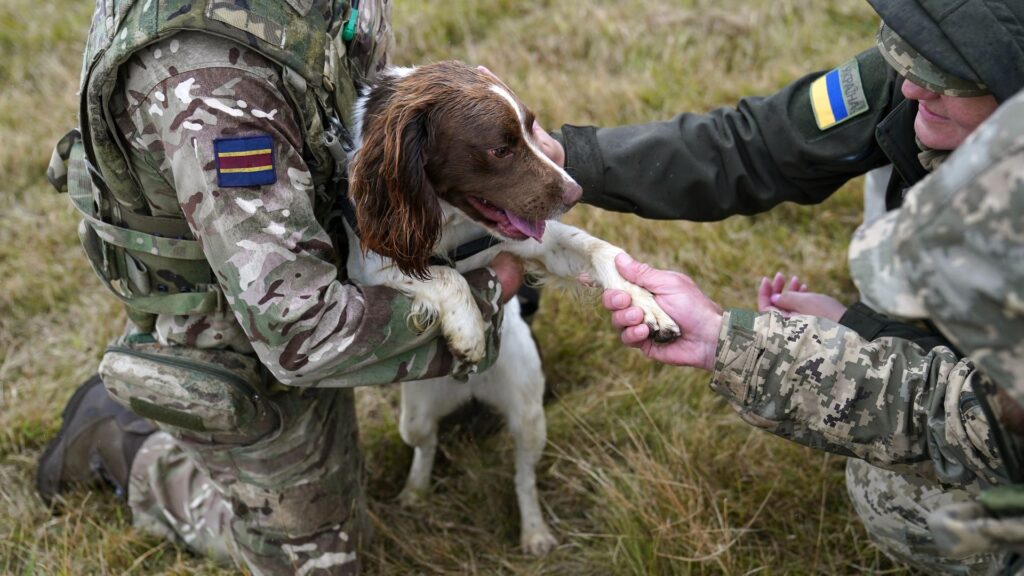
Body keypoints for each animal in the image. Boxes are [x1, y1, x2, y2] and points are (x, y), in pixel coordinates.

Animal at [344, 61, 679, 553]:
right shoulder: (365, 263)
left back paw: (535, 532)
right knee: (426, 445)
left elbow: (599, 249)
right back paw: (416, 491)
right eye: (500, 149)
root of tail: (471, 392)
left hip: (529, 415)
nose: (575, 191)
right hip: (415, 416)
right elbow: (441, 275)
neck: (453, 225)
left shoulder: (538, 243)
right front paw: (467, 329)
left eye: (531, 128)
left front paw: (645, 303)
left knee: (523, 476)